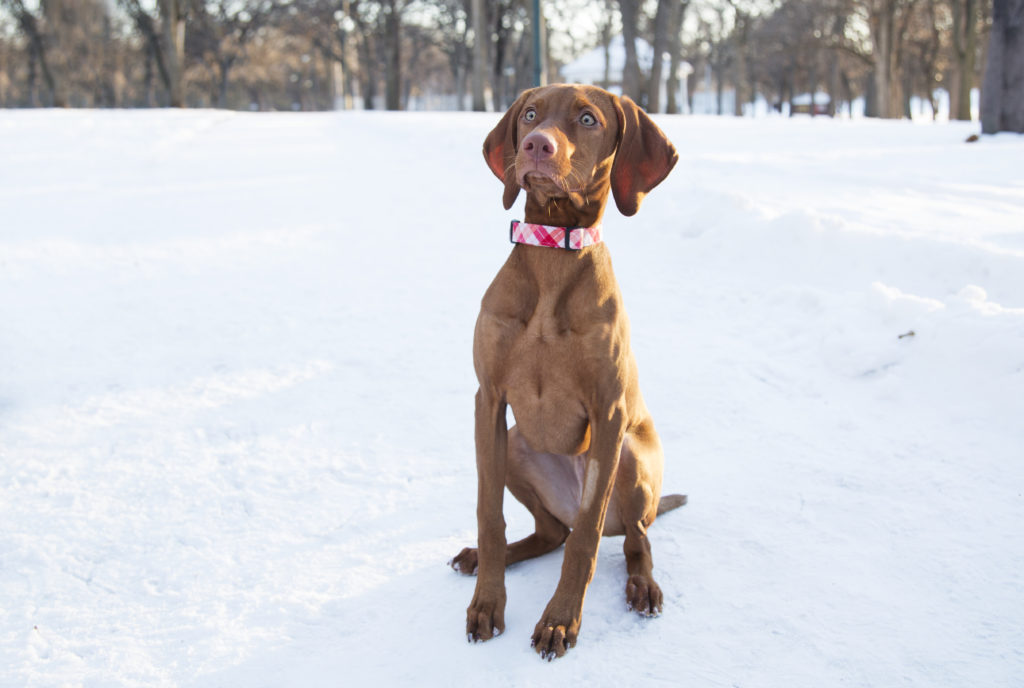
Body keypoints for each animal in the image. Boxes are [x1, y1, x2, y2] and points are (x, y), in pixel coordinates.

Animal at [454, 86, 688, 659]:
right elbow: (489, 514)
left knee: (631, 537)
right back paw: (483, 558)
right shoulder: (488, 400)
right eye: (530, 115)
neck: (553, 254)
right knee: (550, 533)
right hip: (517, 443)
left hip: (630, 456)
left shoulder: (609, 413)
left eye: (587, 119)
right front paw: (487, 603)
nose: (536, 145)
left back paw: (643, 585)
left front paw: (560, 620)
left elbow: (586, 535)